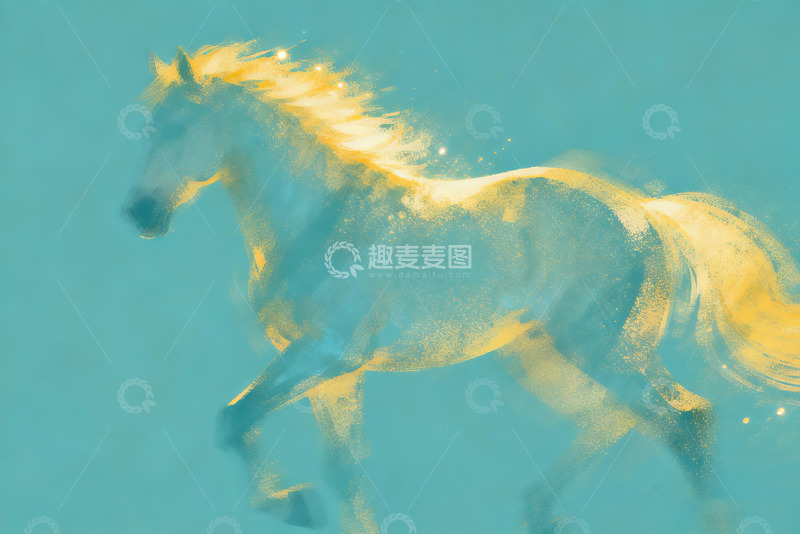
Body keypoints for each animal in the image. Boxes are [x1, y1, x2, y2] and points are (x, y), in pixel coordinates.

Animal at [125, 42, 800, 533]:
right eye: (149, 127)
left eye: (177, 126)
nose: (140, 214)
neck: (319, 217)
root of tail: (647, 214)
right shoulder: (332, 374)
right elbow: (341, 469)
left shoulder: (323, 355)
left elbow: (233, 418)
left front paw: (295, 506)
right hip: (568, 355)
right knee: (635, 416)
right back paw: (540, 511)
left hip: (598, 350)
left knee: (682, 420)